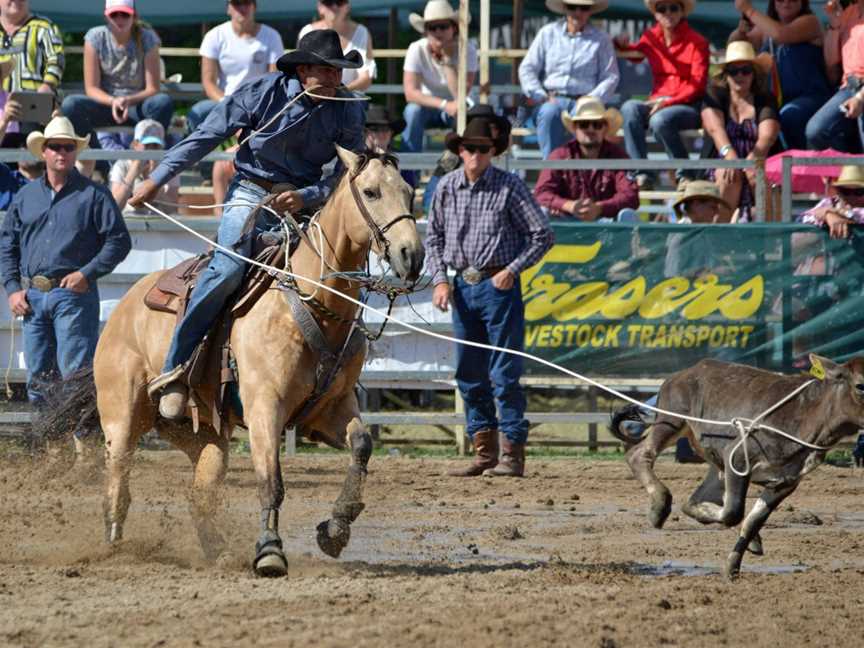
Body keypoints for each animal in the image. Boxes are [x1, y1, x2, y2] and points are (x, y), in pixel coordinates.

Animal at [48, 148, 426, 576]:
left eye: (408, 191)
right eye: (371, 191)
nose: (411, 255)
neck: (312, 301)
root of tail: (122, 309)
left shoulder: (330, 409)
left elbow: (361, 444)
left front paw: (335, 528)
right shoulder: (265, 407)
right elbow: (271, 480)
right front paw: (269, 551)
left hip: (204, 433)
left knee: (199, 493)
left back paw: (219, 552)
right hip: (123, 414)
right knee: (117, 479)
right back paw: (116, 546)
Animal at [608, 356, 864, 580]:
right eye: (860, 385)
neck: (807, 415)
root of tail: (681, 375)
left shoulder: (785, 482)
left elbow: (751, 521)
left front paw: (733, 566)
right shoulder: (738, 458)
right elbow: (732, 512)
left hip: (713, 461)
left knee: (696, 497)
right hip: (671, 423)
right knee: (639, 455)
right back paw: (659, 507)